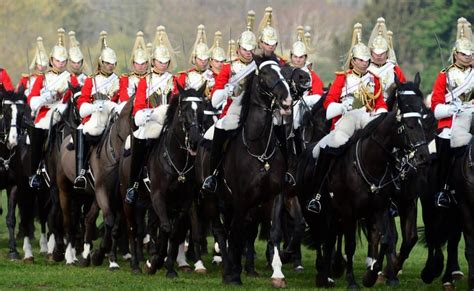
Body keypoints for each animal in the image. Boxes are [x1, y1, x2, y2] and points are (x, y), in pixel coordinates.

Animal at [298, 76, 432, 290]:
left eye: (423, 116)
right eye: (407, 123)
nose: (423, 157)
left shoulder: (390, 206)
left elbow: (391, 239)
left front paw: (376, 274)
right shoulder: (349, 211)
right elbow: (352, 245)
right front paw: (354, 280)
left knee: (331, 237)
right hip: (312, 210)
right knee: (321, 237)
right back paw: (324, 273)